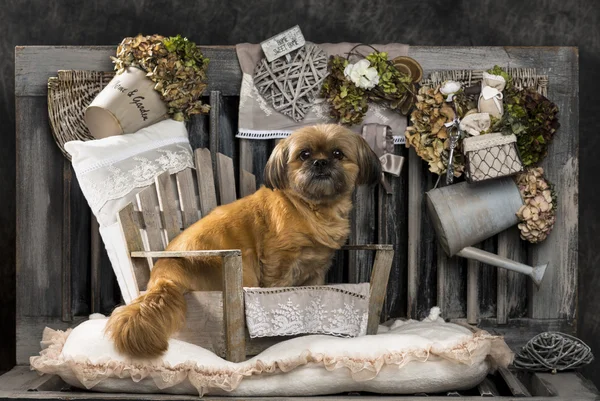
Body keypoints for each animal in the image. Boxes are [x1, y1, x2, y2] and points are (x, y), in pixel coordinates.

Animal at [105, 124, 382, 356]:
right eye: (304, 154)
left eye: (337, 153)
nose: (320, 162)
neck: (311, 207)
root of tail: (164, 273)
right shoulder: (278, 262)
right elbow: (278, 287)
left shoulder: (316, 270)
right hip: (243, 266)